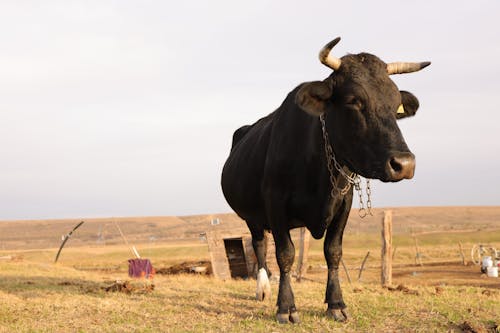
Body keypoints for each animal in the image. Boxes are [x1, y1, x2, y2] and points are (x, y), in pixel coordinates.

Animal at [222, 37, 430, 322]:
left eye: (395, 103)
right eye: (354, 100)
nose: (404, 164)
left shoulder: (344, 204)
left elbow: (333, 252)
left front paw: (336, 303)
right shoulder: (275, 203)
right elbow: (285, 254)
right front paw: (286, 307)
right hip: (252, 215)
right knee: (259, 245)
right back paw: (262, 289)